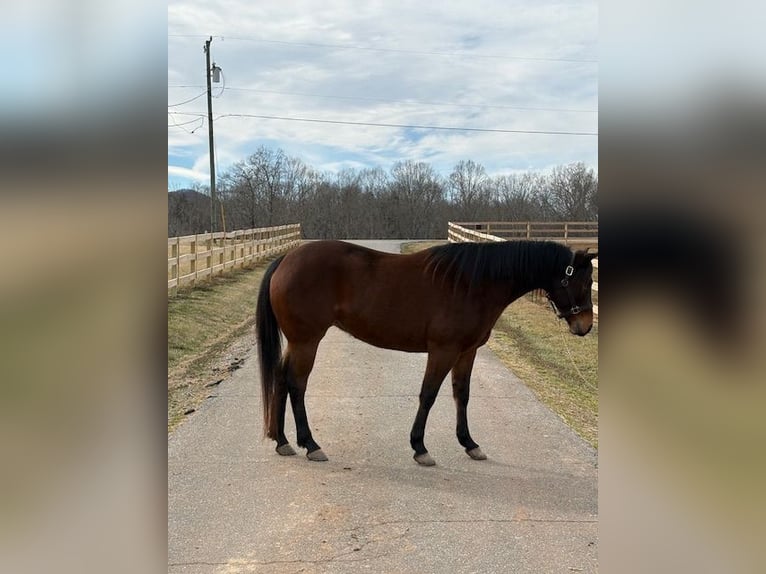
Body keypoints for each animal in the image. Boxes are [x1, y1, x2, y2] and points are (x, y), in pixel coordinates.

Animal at [256, 240, 597, 466]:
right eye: (583, 282)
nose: (585, 326)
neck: (473, 284)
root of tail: (285, 258)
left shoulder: (466, 352)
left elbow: (462, 395)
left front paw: (469, 443)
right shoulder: (443, 351)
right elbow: (429, 395)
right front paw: (420, 447)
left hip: (298, 342)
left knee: (281, 380)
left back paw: (282, 441)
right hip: (307, 341)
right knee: (296, 385)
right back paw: (310, 444)